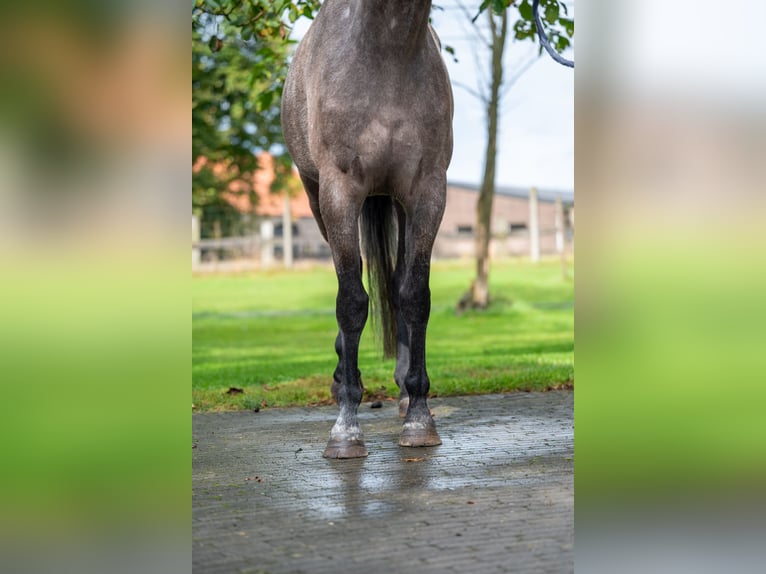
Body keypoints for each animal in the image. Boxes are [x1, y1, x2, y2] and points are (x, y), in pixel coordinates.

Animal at [282, 0, 452, 460]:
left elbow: (415, 297)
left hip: (397, 204)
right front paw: (345, 429)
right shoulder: (339, 194)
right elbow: (352, 303)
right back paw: (344, 377)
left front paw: (419, 417)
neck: (387, 52)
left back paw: (405, 394)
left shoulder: (427, 192)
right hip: (317, 199)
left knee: (397, 285)